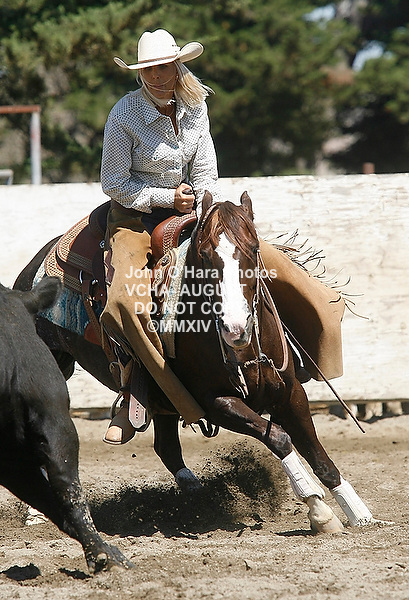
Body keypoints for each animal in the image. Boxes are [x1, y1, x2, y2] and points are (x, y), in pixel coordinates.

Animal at [14, 191, 375, 533]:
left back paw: (199, 498)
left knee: (167, 447)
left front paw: (359, 513)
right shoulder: (213, 402)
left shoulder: (290, 392)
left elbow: (317, 453)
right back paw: (38, 511)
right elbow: (279, 438)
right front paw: (318, 509)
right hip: (59, 364)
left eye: (254, 248)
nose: (235, 328)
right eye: (204, 255)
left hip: (162, 394)